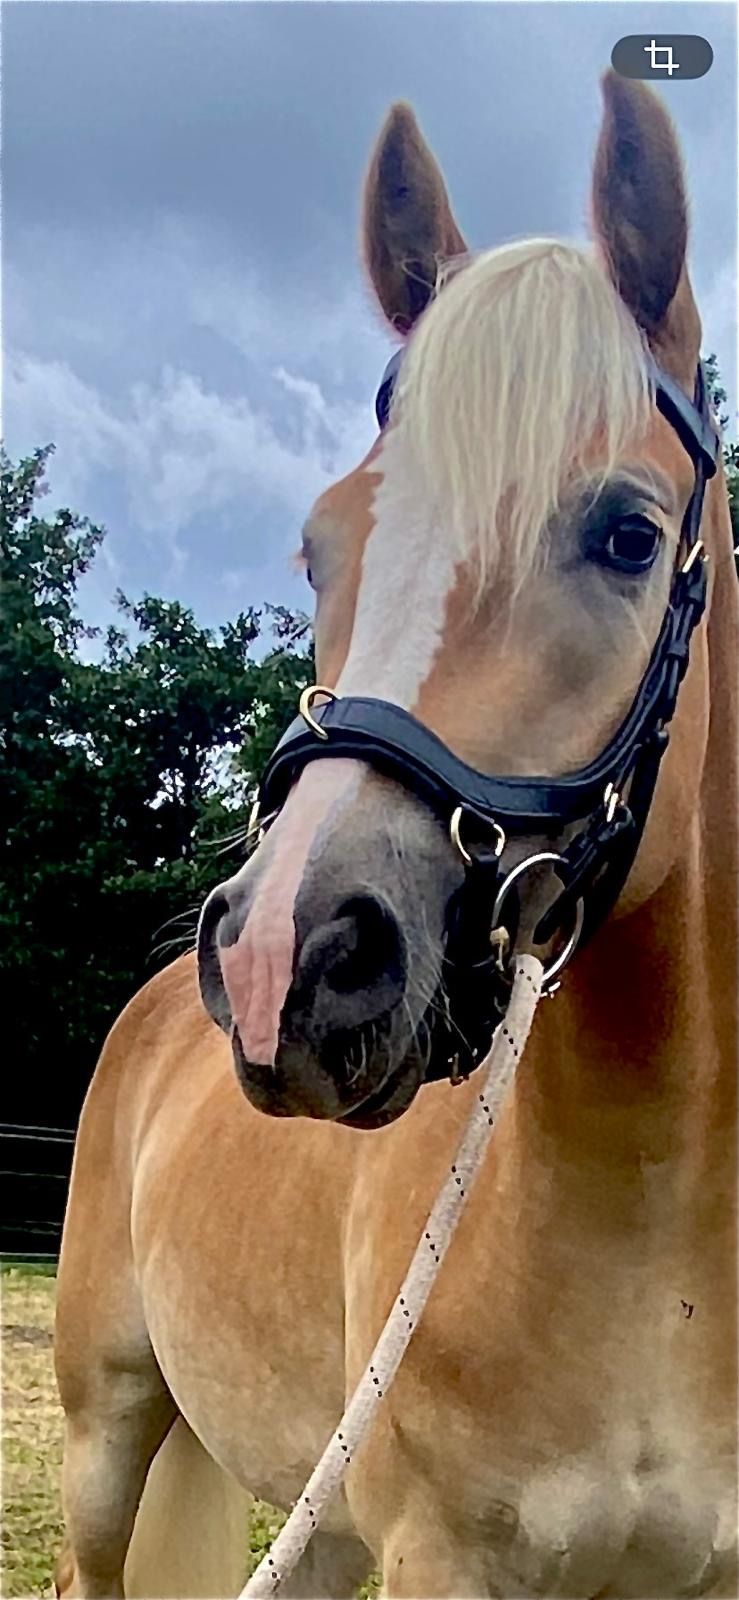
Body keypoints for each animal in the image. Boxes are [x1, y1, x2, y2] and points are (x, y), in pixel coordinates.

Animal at [54, 70, 737, 1599]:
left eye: (627, 535)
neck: (652, 1233)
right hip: (104, 1445)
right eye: (321, 546)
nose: (280, 963)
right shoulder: (438, 1557)